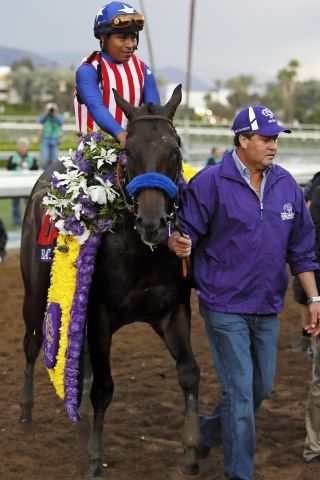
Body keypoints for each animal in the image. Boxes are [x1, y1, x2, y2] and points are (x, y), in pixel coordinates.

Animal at [17, 84, 201, 478]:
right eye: (127, 151)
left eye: (175, 149)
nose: (152, 223)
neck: (142, 252)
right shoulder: (100, 315)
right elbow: (103, 387)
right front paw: (94, 457)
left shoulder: (173, 310)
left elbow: (189, 372)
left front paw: (192, 451)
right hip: (35, 292)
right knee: (33, 342)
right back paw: (25, 410)